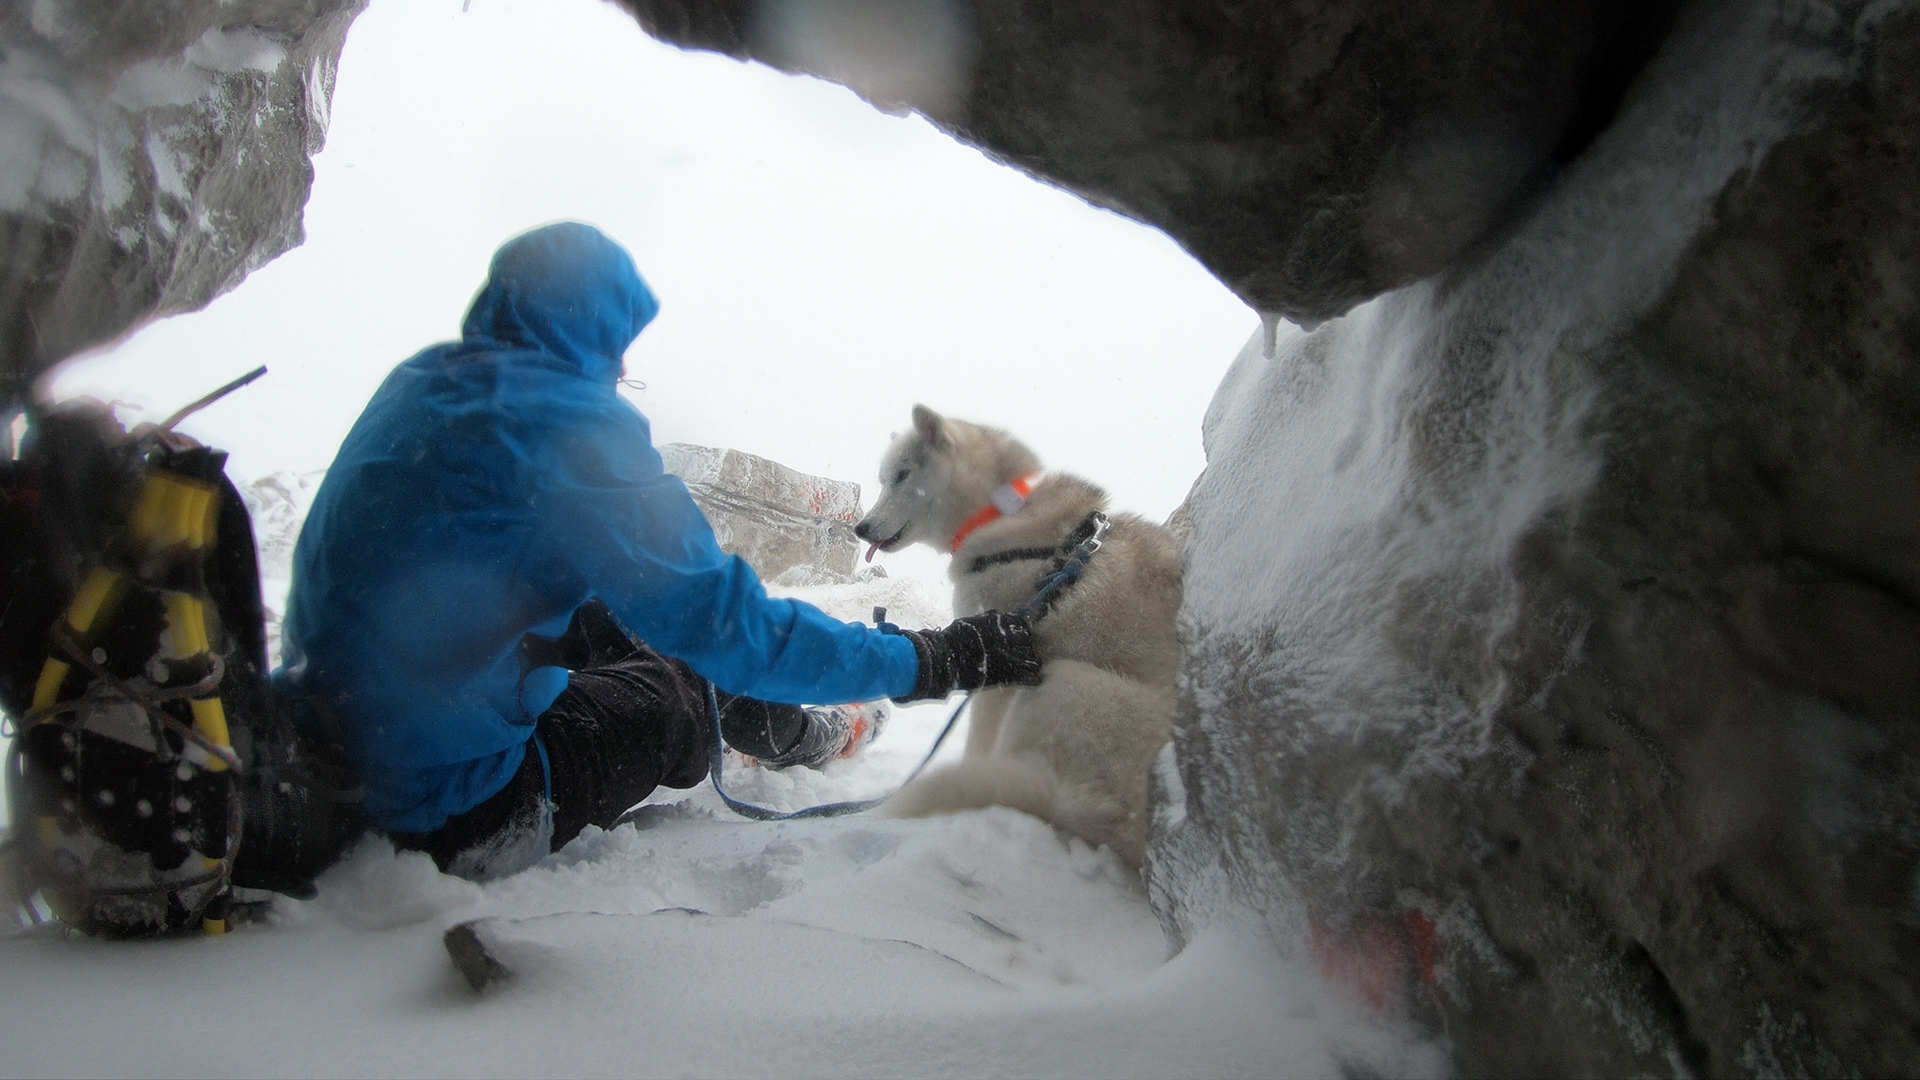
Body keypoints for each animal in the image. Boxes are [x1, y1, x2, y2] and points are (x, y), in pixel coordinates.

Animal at [860, 403, 1182, 864]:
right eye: (883, 479)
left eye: (902, 475)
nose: (860, 528)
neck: (997, 514)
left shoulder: (997, 677)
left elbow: (977, 744)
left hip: (1061, 683)